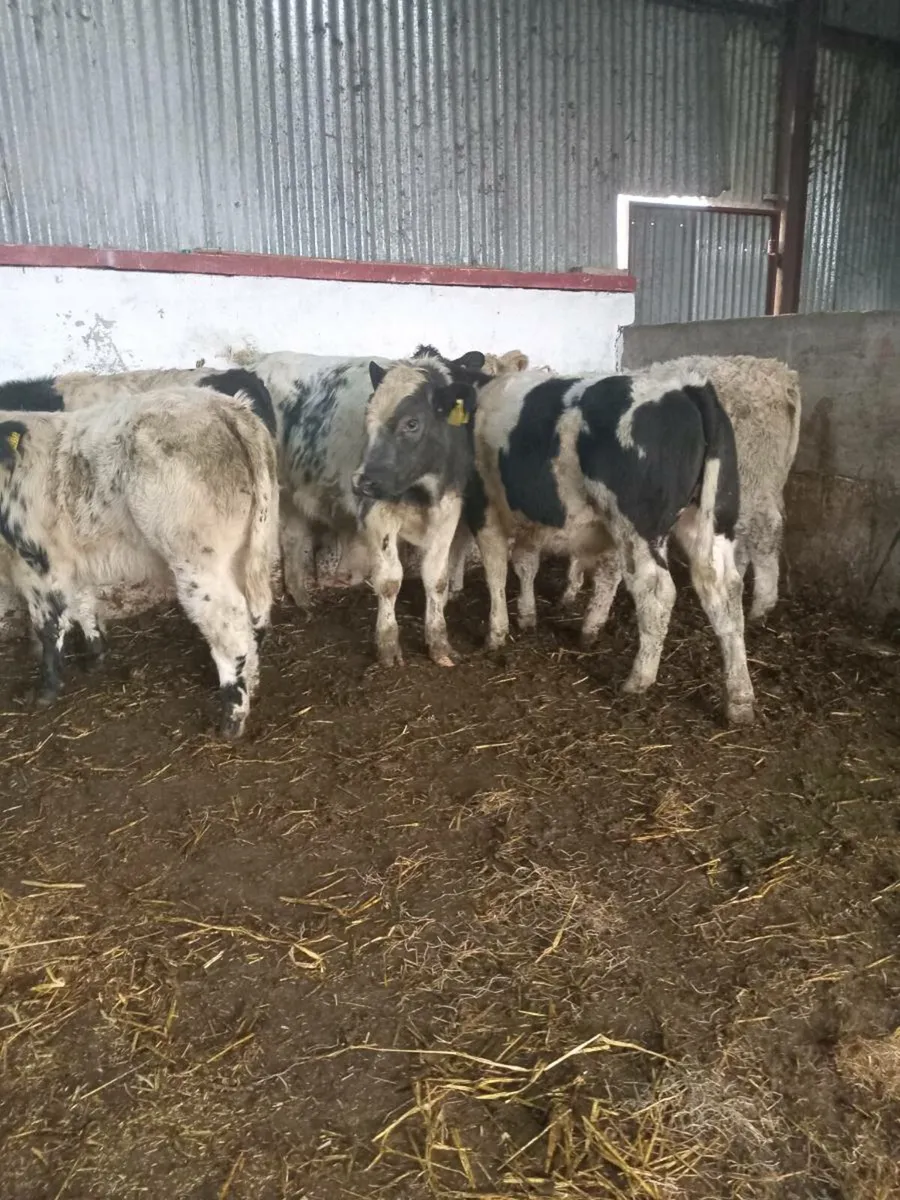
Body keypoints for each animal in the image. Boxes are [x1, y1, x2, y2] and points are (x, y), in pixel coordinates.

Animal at [0, 387, 278, 738]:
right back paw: (251, 682)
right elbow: (84, 604)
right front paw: (96, 655)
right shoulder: (73, 558)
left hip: (199, 563)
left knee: (228, 623)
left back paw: (232, 716)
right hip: (253, 547)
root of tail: (225, 407)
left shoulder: (37, 563)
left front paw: (45, 690)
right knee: (256, 616)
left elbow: (49, 627)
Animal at [245, 345, 486, 667]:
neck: (421, 489)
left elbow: (437, 578)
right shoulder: (378, 516)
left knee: (293, 537)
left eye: (412, 423)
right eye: (367, 418)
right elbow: (389, 580)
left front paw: (439, 644)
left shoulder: (448, 510)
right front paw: (387, 646)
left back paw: (301, 598)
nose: (362, 481)